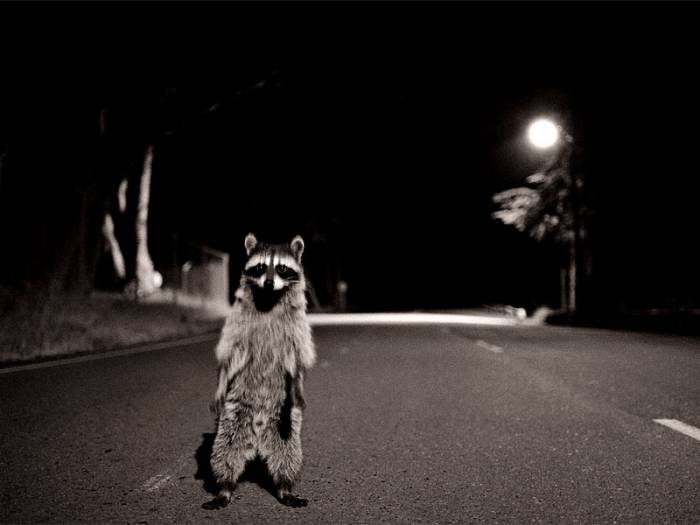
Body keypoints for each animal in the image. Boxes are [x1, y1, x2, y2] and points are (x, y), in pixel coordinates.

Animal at [203, 233, 316, 509]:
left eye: (282, 268)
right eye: (261, 267)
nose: (269, 282)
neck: (268, 298)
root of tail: (257, 433)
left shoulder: (297, 326)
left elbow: (298, 356)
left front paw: (298, 382)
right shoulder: (237, 321)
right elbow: (230, 351)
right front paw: (220, 382)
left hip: (285, 419)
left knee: (287, 454)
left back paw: (285, 486)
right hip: (234, 414)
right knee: (225, 451)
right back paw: (225, 486)